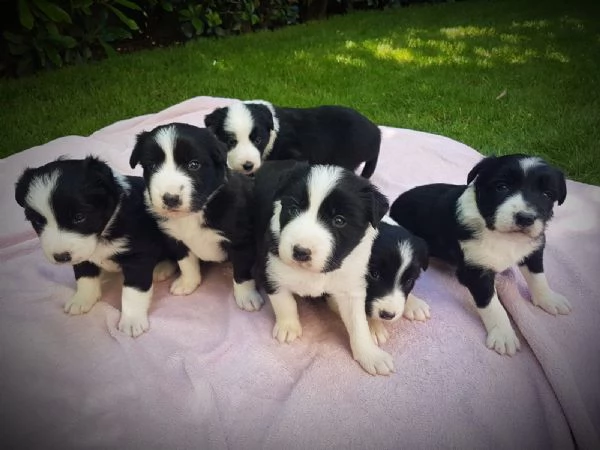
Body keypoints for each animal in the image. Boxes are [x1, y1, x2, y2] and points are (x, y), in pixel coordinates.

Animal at [14, 156, 178, 336]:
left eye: (79, 217)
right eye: (37, 222)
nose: (61, 257)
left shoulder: (138, 256)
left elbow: (133, 291)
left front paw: (132, 320)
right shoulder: (81, 254)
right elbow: (84, 277)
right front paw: (82, 299)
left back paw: (161, 268)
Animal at [129, 123, 262, 312]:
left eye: (194, 164)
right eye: (152, 166)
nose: (170, 198)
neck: (195, 212)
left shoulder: (240, 240)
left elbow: (243, 271)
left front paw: (247, 296)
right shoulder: (175, 238)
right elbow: (185, 263)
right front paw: (188, 283)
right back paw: (161, 267)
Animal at [253, 160, 394, 374]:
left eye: (339, 220)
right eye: (293, 209)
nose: (300, 252)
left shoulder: (352, 285)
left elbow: (358, 323)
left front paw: (369, 354)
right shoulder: (271, 268)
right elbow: (284, 302)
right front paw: (288, 326)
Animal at [392, 155, 568, 356]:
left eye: (547, 194)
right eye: (502, 187)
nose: (525, 218)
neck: (503, 236)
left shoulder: (534, 248)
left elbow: (538, 277)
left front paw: (549, 299)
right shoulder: (475, 271)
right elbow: (492, 304)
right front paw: (503, 334)